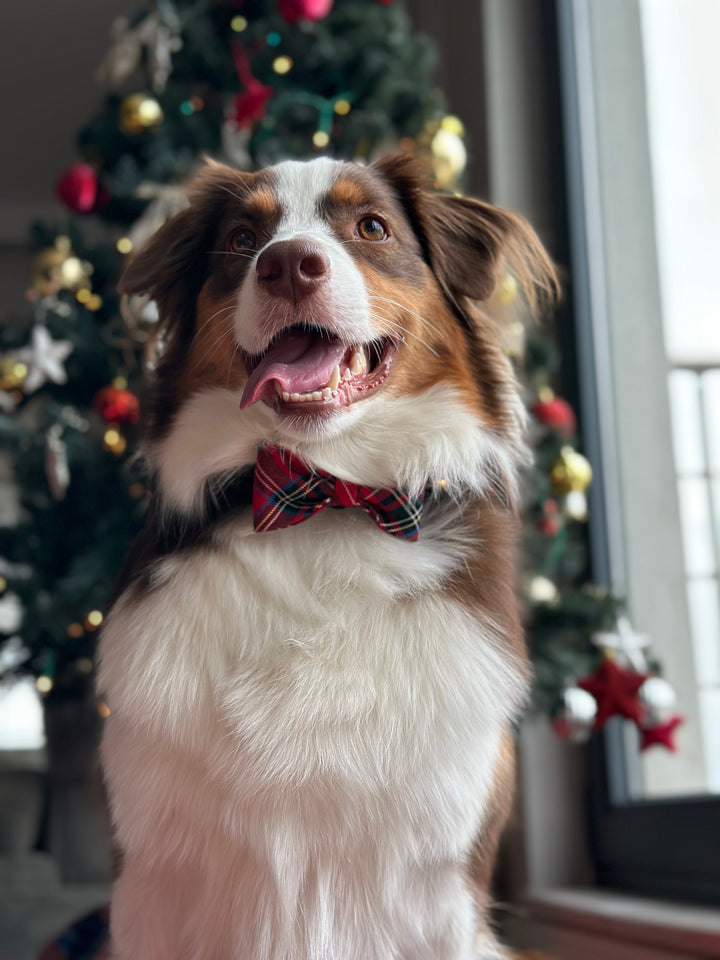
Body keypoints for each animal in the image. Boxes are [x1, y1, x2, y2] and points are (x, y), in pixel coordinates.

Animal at [95, 158, 556, 960]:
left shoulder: (443, 880)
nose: (286, 265)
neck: (326, 497)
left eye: (372, 227)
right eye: (241, 238)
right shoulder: (150, 878)